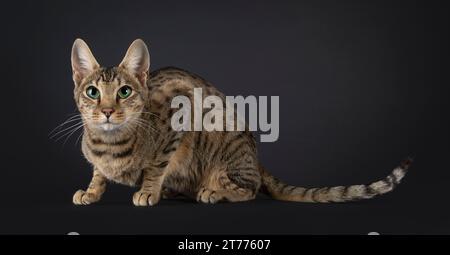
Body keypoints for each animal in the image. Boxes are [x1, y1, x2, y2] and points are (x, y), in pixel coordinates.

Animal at [69, 38, 412, 205]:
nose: (108, 111)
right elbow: (98, 173)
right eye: (92, 92)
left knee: (250, 188)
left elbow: (156, 165)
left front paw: (148, 191)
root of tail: (255, 158)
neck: (109, 144)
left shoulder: (180, 104)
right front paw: (91, 192)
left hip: (222, 137)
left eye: (124, 92)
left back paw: (212, 190)